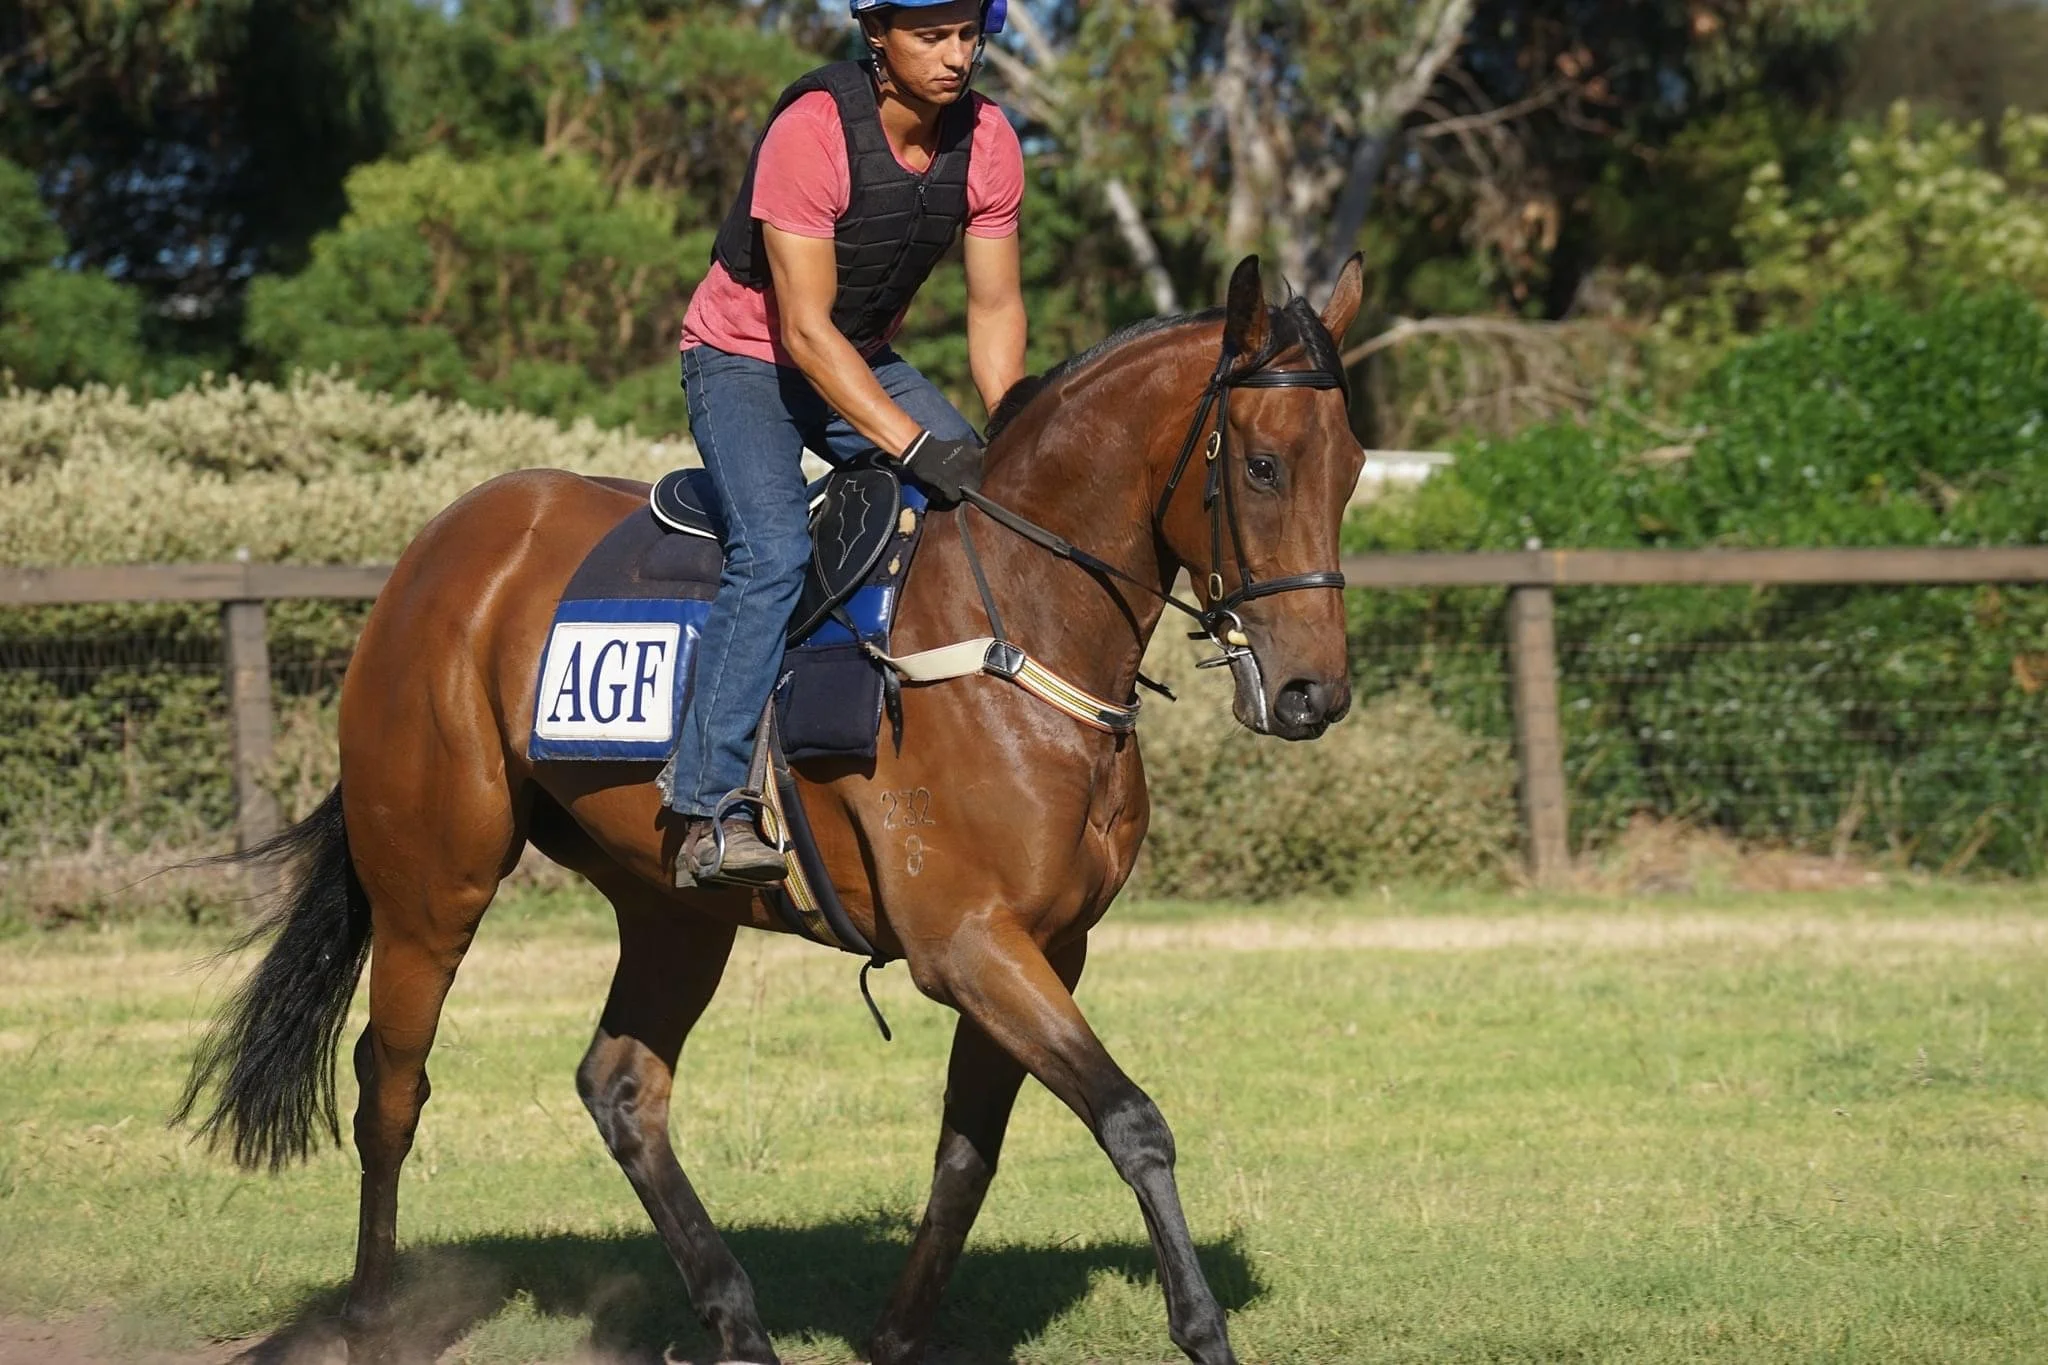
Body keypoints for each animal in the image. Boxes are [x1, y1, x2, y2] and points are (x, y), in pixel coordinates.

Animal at [176, 253, 1367, 1365]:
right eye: (1261, 465)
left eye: (1352, 469)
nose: (1313, 693)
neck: (1014, 623)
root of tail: (432, 554)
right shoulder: (970, 945)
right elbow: (1131, 1120)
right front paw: (1202, 1327)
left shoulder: (1045, 947)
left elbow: (966, 1154)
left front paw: (895, 1336)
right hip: (433, 879)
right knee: (391, 1082)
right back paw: (374, 1316)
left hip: (671, 909)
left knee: (621, 1087)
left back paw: (735, 1317)